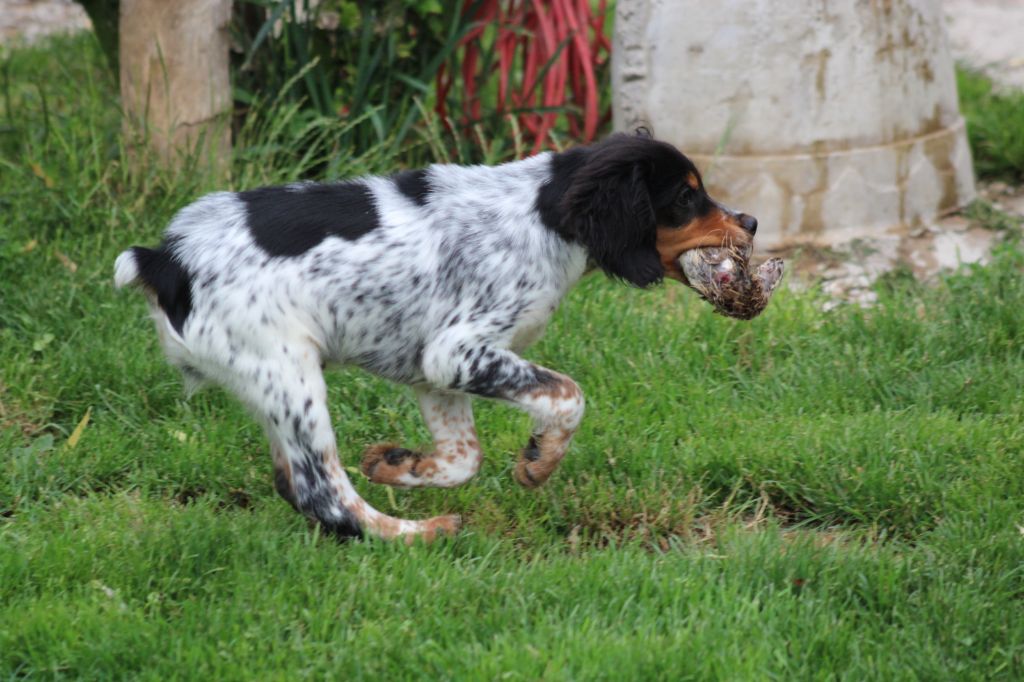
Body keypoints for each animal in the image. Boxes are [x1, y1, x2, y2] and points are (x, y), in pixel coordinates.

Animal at [117, 130, 761, 540]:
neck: (544, 214)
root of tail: (166, 261)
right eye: (686, 195)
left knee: (296, 483)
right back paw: (419, 533)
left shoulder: (434, 370)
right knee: (323, 492)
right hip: (290, 374)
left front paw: (400, 466)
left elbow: (464, 456)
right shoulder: (459, 352)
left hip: (270, 383)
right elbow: (568, 395)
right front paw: (540, 462)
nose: (752, 222)